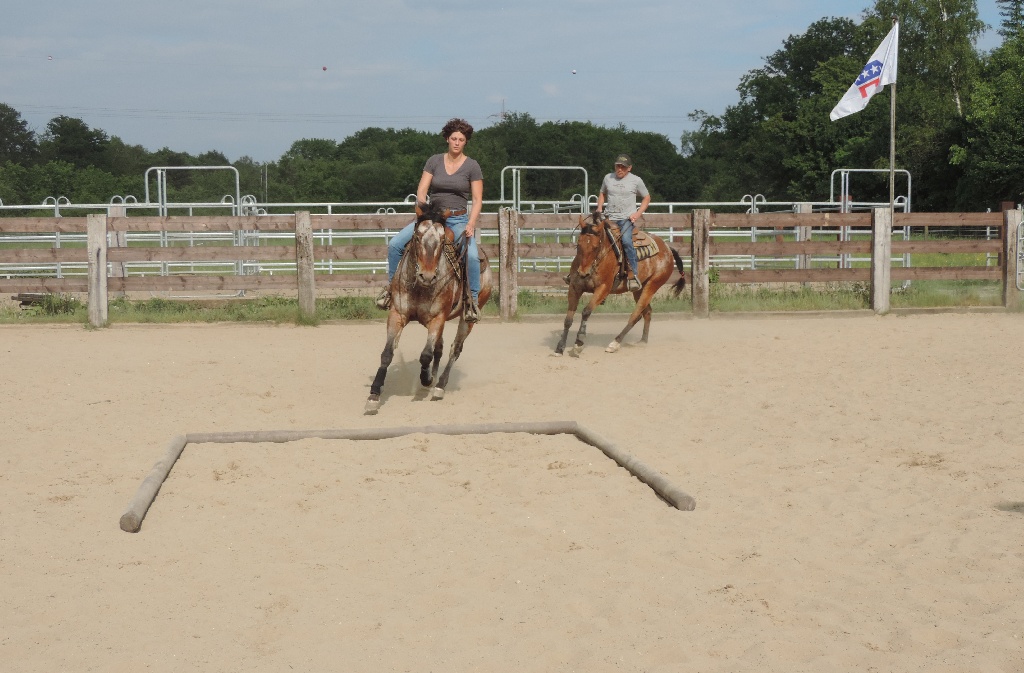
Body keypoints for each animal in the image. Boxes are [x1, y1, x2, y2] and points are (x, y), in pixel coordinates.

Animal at [365, 203, 493, 414]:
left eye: (441, 241)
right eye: (417, 237)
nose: (427, 276)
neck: (419, 286)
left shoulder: (437, 318)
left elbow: (426, 355)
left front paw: (426, 379)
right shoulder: (397, 314)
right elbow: (387, 353)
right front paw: (374, 394)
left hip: (466, 319)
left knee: (455, 349)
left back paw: (439, 385)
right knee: (439, 348)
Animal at [555, 212, 686, 356]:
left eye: (595, 247)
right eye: (579, 244)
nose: (583, 273)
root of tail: (668, 248)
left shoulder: (603, 289)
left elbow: (586, 311)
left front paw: (578, 343)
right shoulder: (574, 288)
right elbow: (568, 319)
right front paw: (560, 347)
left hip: (653, 285)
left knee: (636, 314)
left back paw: (615, 343)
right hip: (639, 289)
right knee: (647, 312)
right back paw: (643, 341)